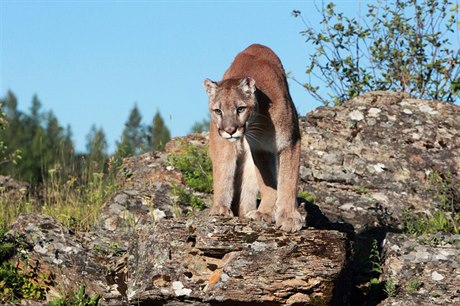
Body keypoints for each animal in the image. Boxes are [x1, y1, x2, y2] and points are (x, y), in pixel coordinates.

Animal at [203, 43, 304, 232]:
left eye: (240, 109)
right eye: (218, 111)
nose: (229, 130)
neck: (259, 122)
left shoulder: (290, 142)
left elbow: (288, 180)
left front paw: (288, 216)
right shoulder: (260, 149)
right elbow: (267, 183)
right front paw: (265, 212)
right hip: (223, 145)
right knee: (224, 171)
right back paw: (220, 208)